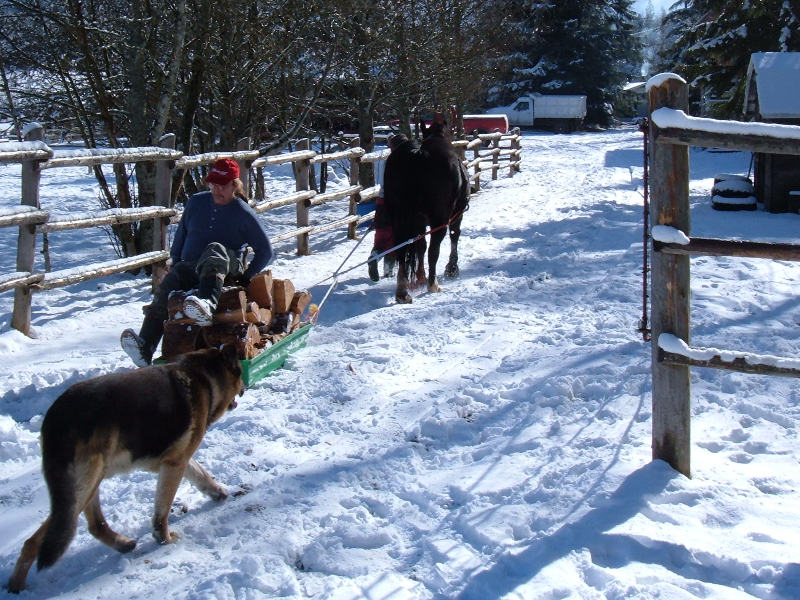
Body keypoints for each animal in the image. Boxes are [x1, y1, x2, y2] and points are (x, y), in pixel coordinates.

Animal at [7, 344, 244, 592]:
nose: (244, 388)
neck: (204, 375)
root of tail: (55, 419)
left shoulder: (177, 459)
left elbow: (201, 475)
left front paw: (218, 492)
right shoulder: (175, 463)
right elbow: (162, 510)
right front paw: (164, 539)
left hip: (89, 481)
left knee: (90, 525)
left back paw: (121, 544)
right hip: (87, 481)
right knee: (47, 534)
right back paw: (18, 585)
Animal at [382, 119, 468, 302]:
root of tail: (419, 154)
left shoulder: (419, 222)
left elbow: (420, 245)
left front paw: (420, 277)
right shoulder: (457, 214)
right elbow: (454, 236)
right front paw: (452, 268)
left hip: (400, 218)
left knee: (402, 248)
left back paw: (403, 291)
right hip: (439, 220)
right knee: (433, 250)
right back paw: (432, 284)